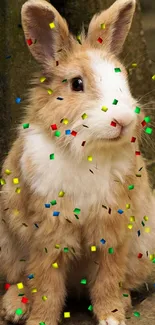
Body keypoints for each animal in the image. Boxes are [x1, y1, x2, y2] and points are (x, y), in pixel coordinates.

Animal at [0, 0, 155, 322]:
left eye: (123, 78)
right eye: (77, 83)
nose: (123, 120)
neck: (88, 150)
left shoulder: (112, 228)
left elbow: (108, 277)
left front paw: (112, 316)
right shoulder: (48, 232)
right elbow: (46, 283)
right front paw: (40, 320)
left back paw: (124, 301)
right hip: (7, 245)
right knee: (18, 278)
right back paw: (14, 307)